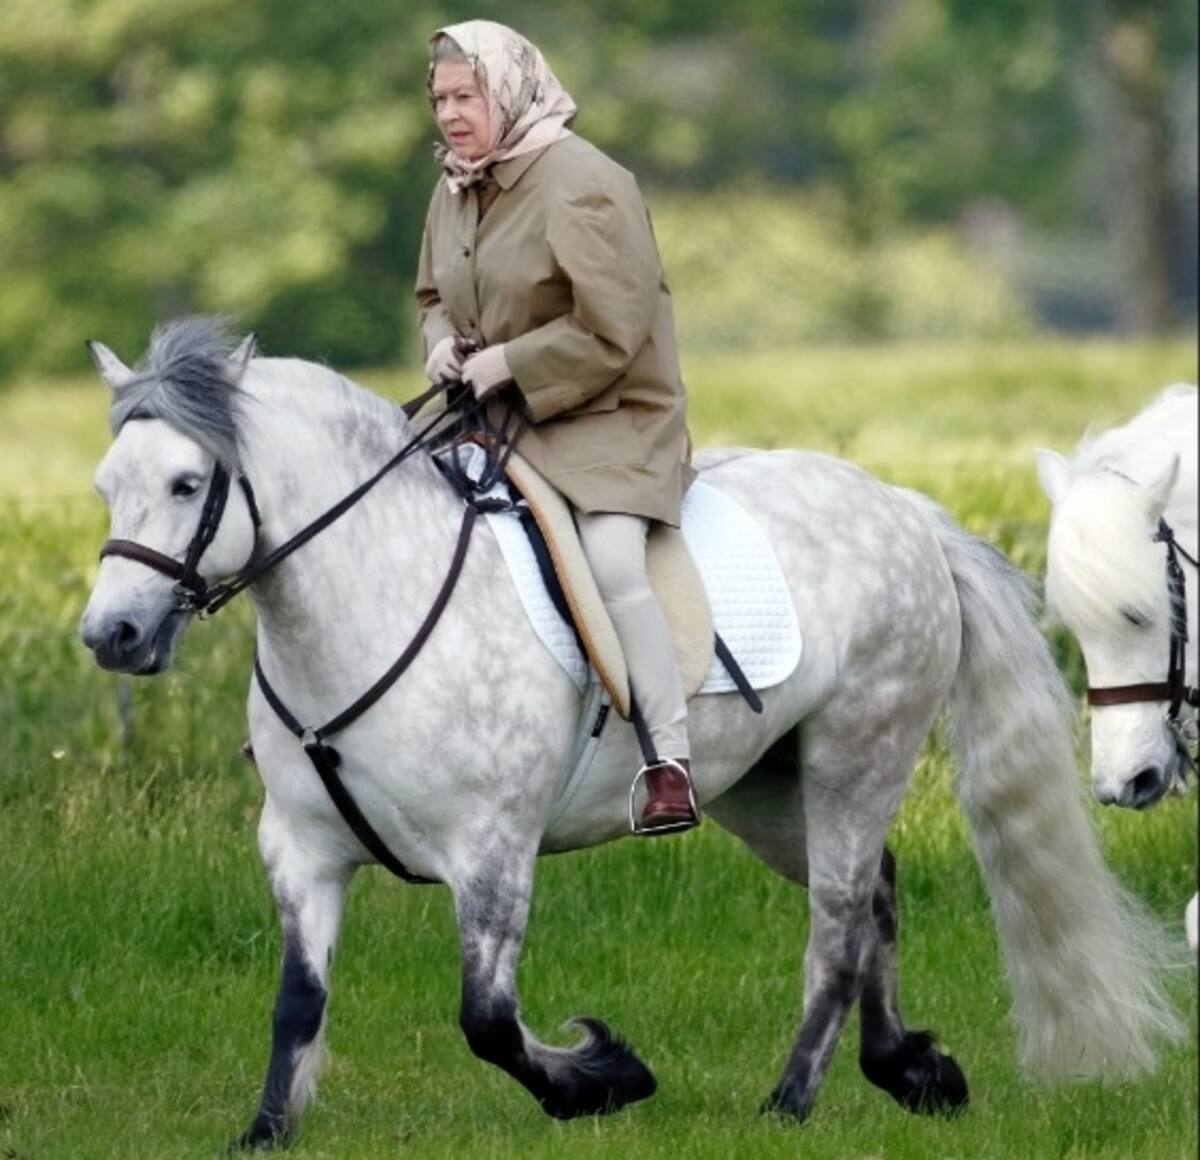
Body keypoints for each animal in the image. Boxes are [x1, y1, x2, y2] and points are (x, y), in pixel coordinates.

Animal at [79, 319, 1179, 1150]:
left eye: (187, 484)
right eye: (105, 485)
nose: (110, 635)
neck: (368, 604)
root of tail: (904, 508)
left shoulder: (493, 852)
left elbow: (487, 1020)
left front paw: (601, 1076)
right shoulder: (301, 850)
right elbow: (298, 1000)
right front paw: (265, 1131)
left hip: (856, 754)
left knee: (836, 925)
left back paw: (789, 1102)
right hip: (762, 789)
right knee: (876, 894)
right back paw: (909, 1068)